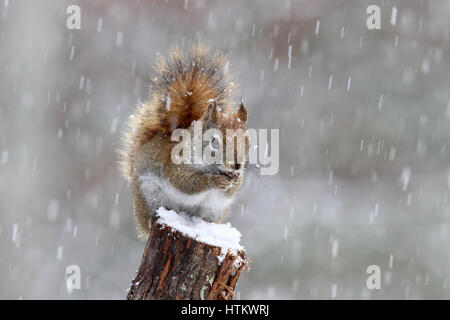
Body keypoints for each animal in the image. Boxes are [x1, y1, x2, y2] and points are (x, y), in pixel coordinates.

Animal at [119, 45, 250, 240]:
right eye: (214, 141)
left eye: (247, 141)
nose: (236, 165)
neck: (213, 167)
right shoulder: (175, 164)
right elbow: (184, 182)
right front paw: (214, 180)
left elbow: (233, 188)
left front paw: (234, 180)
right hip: (148, 196)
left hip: (215, 212)